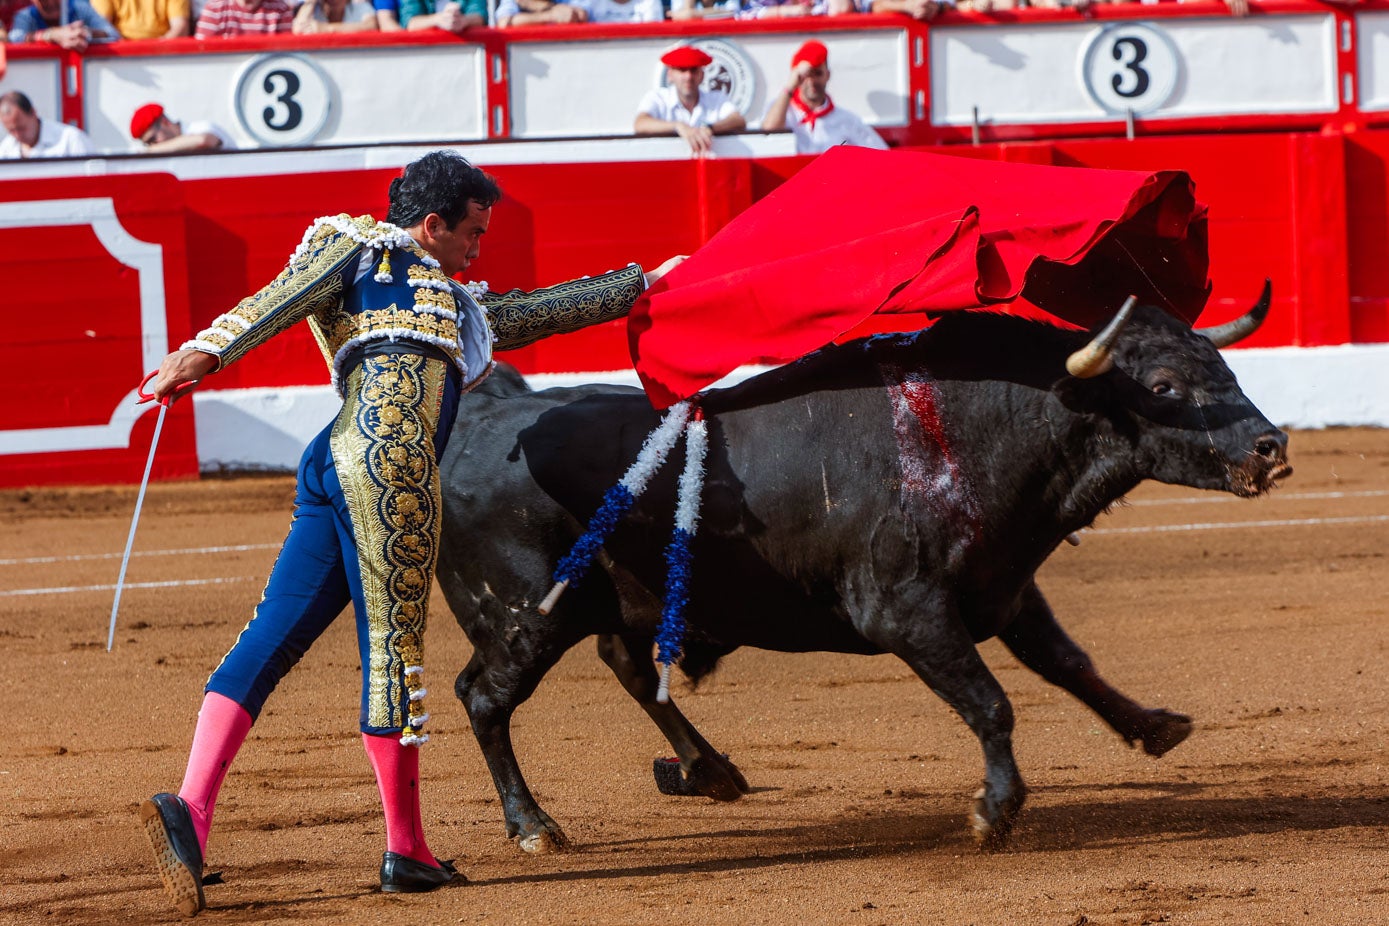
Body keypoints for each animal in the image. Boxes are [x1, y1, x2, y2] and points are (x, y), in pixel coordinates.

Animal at [433, 285, 1288, 849]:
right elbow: (990, 702)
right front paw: (993, 811)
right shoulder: (905, 611)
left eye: (1221, 365)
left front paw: (1154, 727)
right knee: (485, 698)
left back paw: (711, 772)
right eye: (1162, 386)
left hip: (618, 603)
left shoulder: (1004, 590)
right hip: (524, 619)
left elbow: (1069, 664)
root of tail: (479, 419)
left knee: (632, 668)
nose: (1270, 447)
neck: (979, 430)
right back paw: (534, 826)